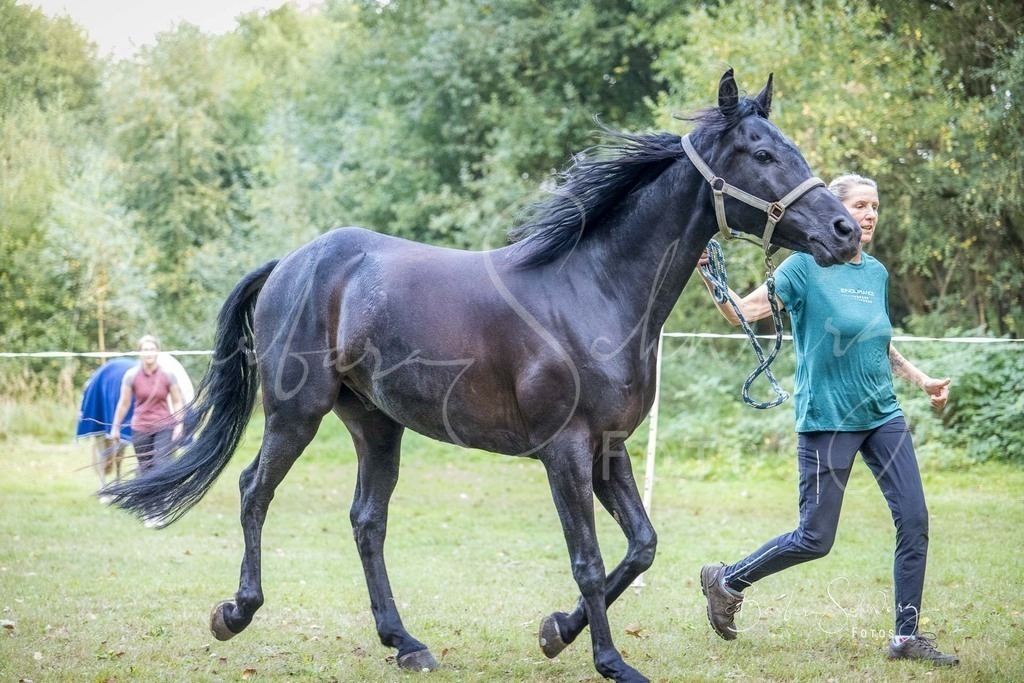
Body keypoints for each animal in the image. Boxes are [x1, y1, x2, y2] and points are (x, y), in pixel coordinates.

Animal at [103, 70, 860, 682]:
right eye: (762, 154)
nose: (846, 231)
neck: (594, 290)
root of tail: (293, 262)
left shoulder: (608, 449)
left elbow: (641, 547)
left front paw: (556, 632)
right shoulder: (565, 452)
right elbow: (588, 559)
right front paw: (610, 661)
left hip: (376, 424)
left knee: (366, 520)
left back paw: (405, 642)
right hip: (297, 413)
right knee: (253, 489)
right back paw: (236, 611)